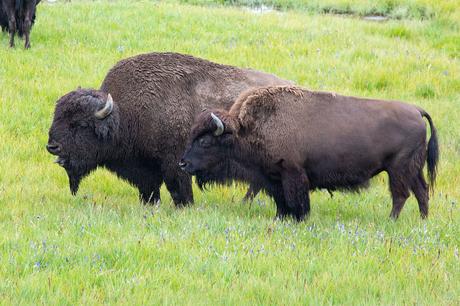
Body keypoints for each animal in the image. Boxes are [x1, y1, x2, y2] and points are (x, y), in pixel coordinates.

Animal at [46, 52, 292, 206]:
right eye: (57, 116)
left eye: (80, 124)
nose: (52, 146)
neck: (124, 114)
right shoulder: (145, 169)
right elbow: (150, 190)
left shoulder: (175, 162)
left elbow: (178, 189)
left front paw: (185, 207)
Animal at [180, 85, 438, 221]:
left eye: (205, 140)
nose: (183, 164)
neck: (244, 128)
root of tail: (417, 111)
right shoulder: (274, 178)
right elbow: (280, 200)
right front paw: (281, 218)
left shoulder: (293, 174)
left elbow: (297, 200)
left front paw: (300, 219)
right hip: (412, 169)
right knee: (421, 191)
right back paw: (422, 220)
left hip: (398, 169)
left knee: (401, 195)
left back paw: (391, 220)